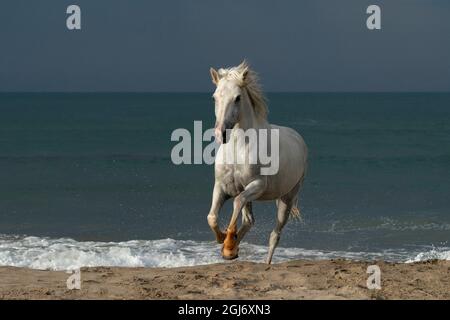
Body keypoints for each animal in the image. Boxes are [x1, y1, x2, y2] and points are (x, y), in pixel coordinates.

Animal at [207, 61, 306, 264]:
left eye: (237, 98)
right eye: (214, 97)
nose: (221, 133)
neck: (238, 149)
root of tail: (298, 138)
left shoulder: (257, 185)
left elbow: (237, 202)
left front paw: (228, 242)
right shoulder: (222, 186)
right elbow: (212, 217)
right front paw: (224, 242)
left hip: (287, 198)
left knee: (275, 234)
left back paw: (264, 262)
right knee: (249, 220)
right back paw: (232, 249)